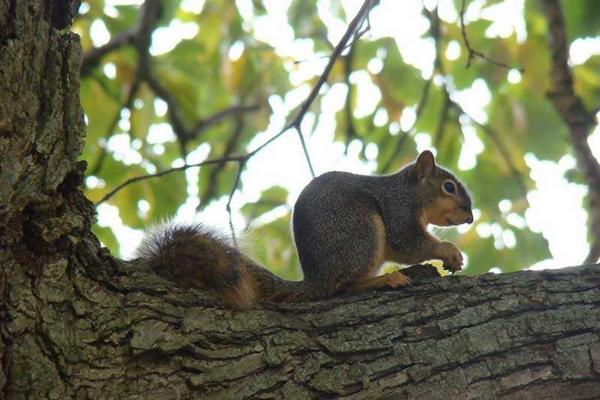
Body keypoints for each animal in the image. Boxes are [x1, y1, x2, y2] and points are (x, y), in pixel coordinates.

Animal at [137, 151, 474, 310]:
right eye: (449, 187)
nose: (470, 217)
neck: (411, 192)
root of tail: (316, 279)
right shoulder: (398, 212)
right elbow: (409, 244)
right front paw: (449, 252)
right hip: (362, 232)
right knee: (342, 286)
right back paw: (384, 280)